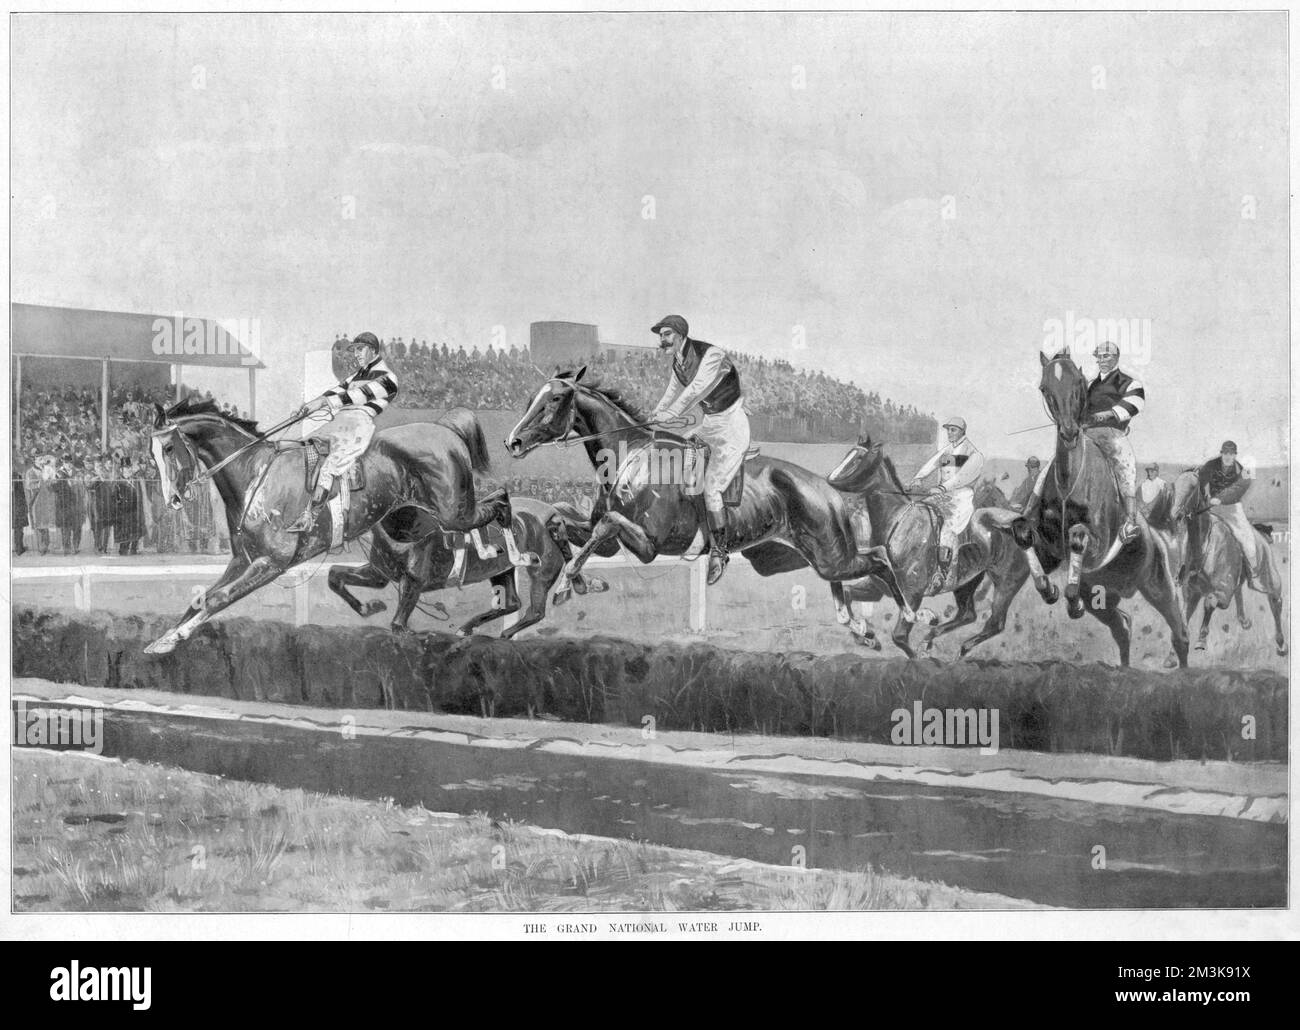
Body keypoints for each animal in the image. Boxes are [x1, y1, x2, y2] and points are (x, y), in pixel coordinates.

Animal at [149, 395, 514, 652]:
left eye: (168, 448)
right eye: (152, 452)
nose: (173, 500)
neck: (255, 474)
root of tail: (444, 429)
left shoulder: (272, 563)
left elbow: (217, 599)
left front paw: (174, 638)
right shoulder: (243, 560)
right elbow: (201, 599)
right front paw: (163, 638)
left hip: (453, 509)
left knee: (496, 500)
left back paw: (506, 537)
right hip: (402, 520)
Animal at [499, 371, 915, 626]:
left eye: (554, 399)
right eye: (532, 397)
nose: (512, 441)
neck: (630, 456)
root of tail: (828, 487)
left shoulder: (649, 544)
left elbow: (605, 524)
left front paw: (570, 583)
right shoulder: (608, 537)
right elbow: (563, 519)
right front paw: (575, 580)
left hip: (831, 555)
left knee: (880, 559)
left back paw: (909, 614)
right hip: (784, 558)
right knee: (860, 567)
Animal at [826, 439, 1029, 655]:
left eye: (858, 458)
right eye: (848, 454)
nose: (830, 480)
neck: (898, 525)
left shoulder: (912, 595)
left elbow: (899, 636)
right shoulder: (878, 587)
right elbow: (848, 595)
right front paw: (867, 637)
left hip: (1006, 585)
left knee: (994, 623)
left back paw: (958, 650)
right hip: (966, 583)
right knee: (968, 614)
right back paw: (930, 640)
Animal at [1003, 351, 1190, 665]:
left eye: (1079, 383)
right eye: (1045, 388)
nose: (1069, 432)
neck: (1068, 483)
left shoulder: (1097, 545)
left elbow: (1077, 538)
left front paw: (1070, 599)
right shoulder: (1050, 550)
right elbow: (1022, 533)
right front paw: (1050, 589)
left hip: (1161, 588)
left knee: (1180, 634)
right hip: (1102, 596)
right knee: (1123, 626)